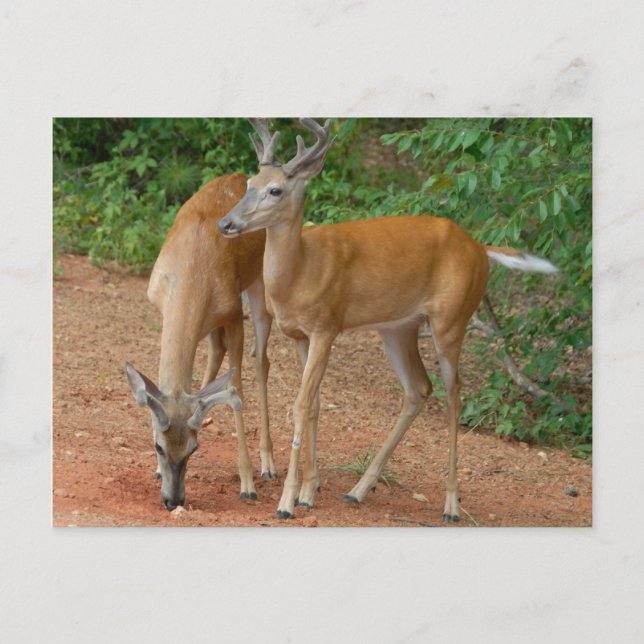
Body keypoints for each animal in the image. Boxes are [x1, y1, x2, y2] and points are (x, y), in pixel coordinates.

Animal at [125, 172, 276, 510]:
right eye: (158, 446)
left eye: (194, 449)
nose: (173, 500)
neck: (191, 273)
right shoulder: (164, 307)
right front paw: (157, 471)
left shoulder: (233, 314)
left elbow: (237, 388)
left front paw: (247, 484)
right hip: (211, 324)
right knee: (217, 352)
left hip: (260, 286)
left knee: (262, 360)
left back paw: (268, 464)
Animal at [218, 118, 558, 522]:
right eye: (248, 183)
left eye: (275, 189)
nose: (226, 223)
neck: (301, 270)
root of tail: (481, 247)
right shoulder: (301, 335)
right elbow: (314, 405)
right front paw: (308, 492)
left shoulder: (328, 325)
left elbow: (301, 406)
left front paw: (287, 502)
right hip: (398, 328)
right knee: (418, 388)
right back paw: (357, 490)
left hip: (452, 319)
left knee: (455, 396)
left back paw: (451, 504)